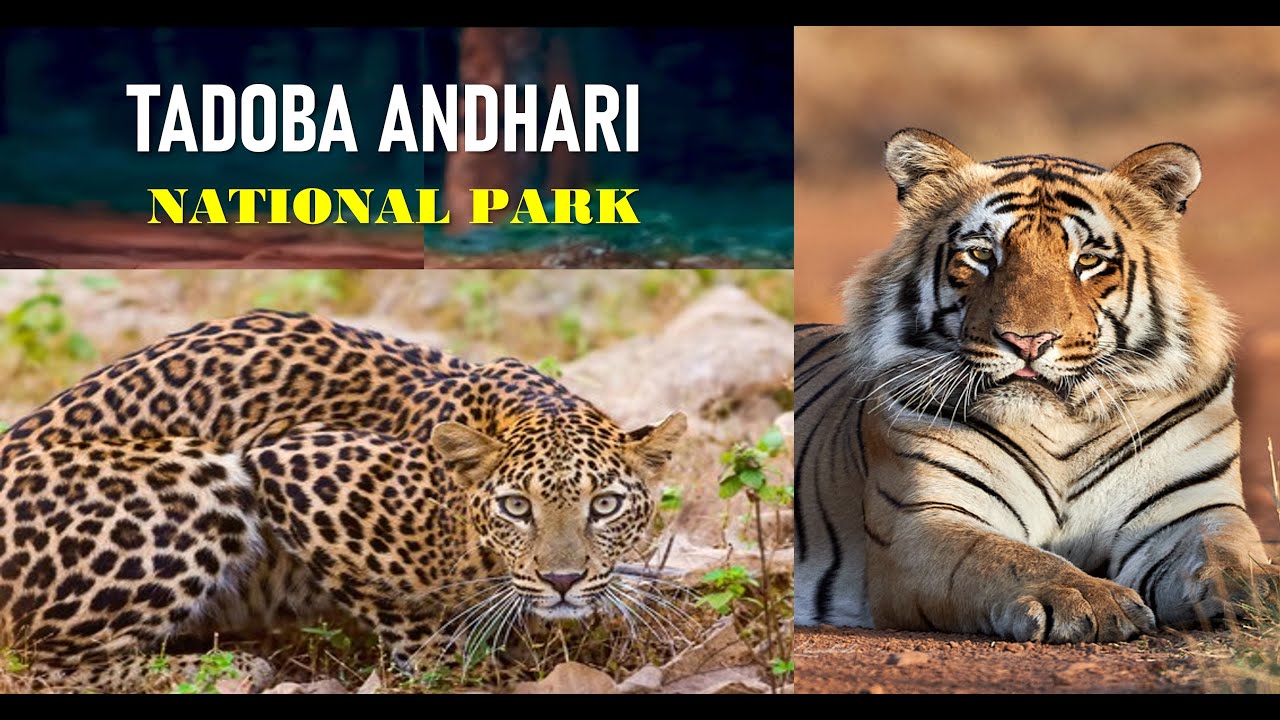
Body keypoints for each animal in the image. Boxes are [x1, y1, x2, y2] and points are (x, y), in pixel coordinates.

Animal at [795, 128, 1278, 643]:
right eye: (981, 254)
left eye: (1088, 261)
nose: (1028, 341)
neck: (1062, 421)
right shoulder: (924, 517)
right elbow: (1005, 558)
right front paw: (1088, 596)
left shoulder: (1192, 510)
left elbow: (1226, 553)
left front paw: (1261, 588)